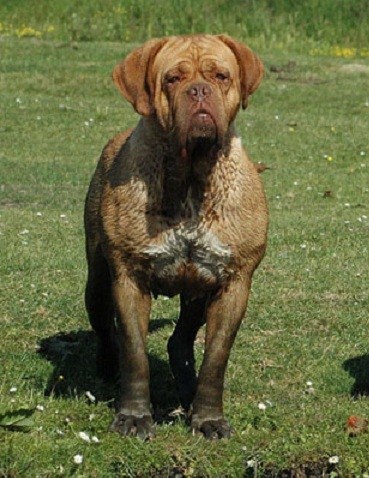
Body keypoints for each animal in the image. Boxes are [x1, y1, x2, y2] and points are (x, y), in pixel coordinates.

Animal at [83, 34, 268, 440]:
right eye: (172, 79)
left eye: (220, 76)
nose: (199, 91)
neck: (191, 174)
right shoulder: (128, 279)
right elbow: (134, 352)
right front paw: (134, 416)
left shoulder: (233, 283)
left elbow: (216, 358)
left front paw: (209, 418)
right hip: (98, 279)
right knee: (105, 329)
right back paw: (106, 368)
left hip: (197, 292)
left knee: (180, 340)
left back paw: (188, 389)